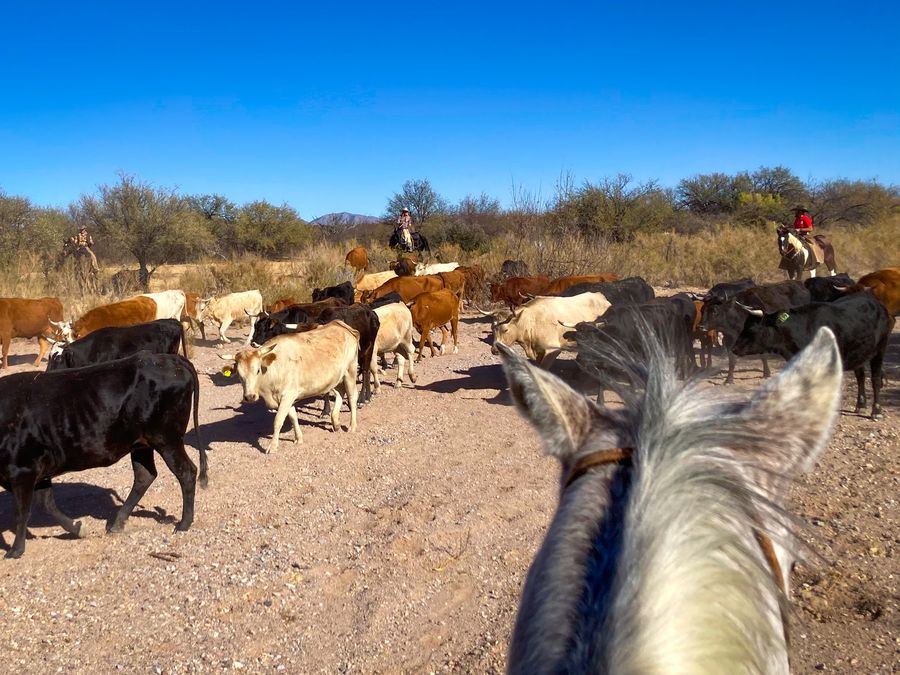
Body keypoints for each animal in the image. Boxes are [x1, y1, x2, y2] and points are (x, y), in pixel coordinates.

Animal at [0, 354, 206, 560]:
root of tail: (169, 358)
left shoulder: (23, 470)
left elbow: (22, 512)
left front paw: (15, 550)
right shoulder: (39, 471)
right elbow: (46, 504)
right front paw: (77, 528)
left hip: (167, 439)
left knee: (186, 472)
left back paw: (184, 523)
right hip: (142, 444)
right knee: (144, 476)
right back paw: (117, 523)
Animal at [218, 322, 358, 454]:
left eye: (257, 370)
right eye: (239, 375)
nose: (250, 396)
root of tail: (340, 325)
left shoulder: (287, 395)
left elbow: (278, 420)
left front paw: (273, 446)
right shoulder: (288, 398)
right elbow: (292, 417)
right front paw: (298, 438)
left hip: (350, 370)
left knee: (352, 397)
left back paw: (352, 426)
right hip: (337, 376)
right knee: (340, 393)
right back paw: (336, 422)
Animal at [736, 294, 888, 420]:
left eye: (751, 329)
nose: (734, 348)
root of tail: (876, 303)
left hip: (880, 349)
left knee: (875, 379)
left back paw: (876, 411)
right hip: (859, 352)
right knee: (860, 376)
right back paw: (861, 405)